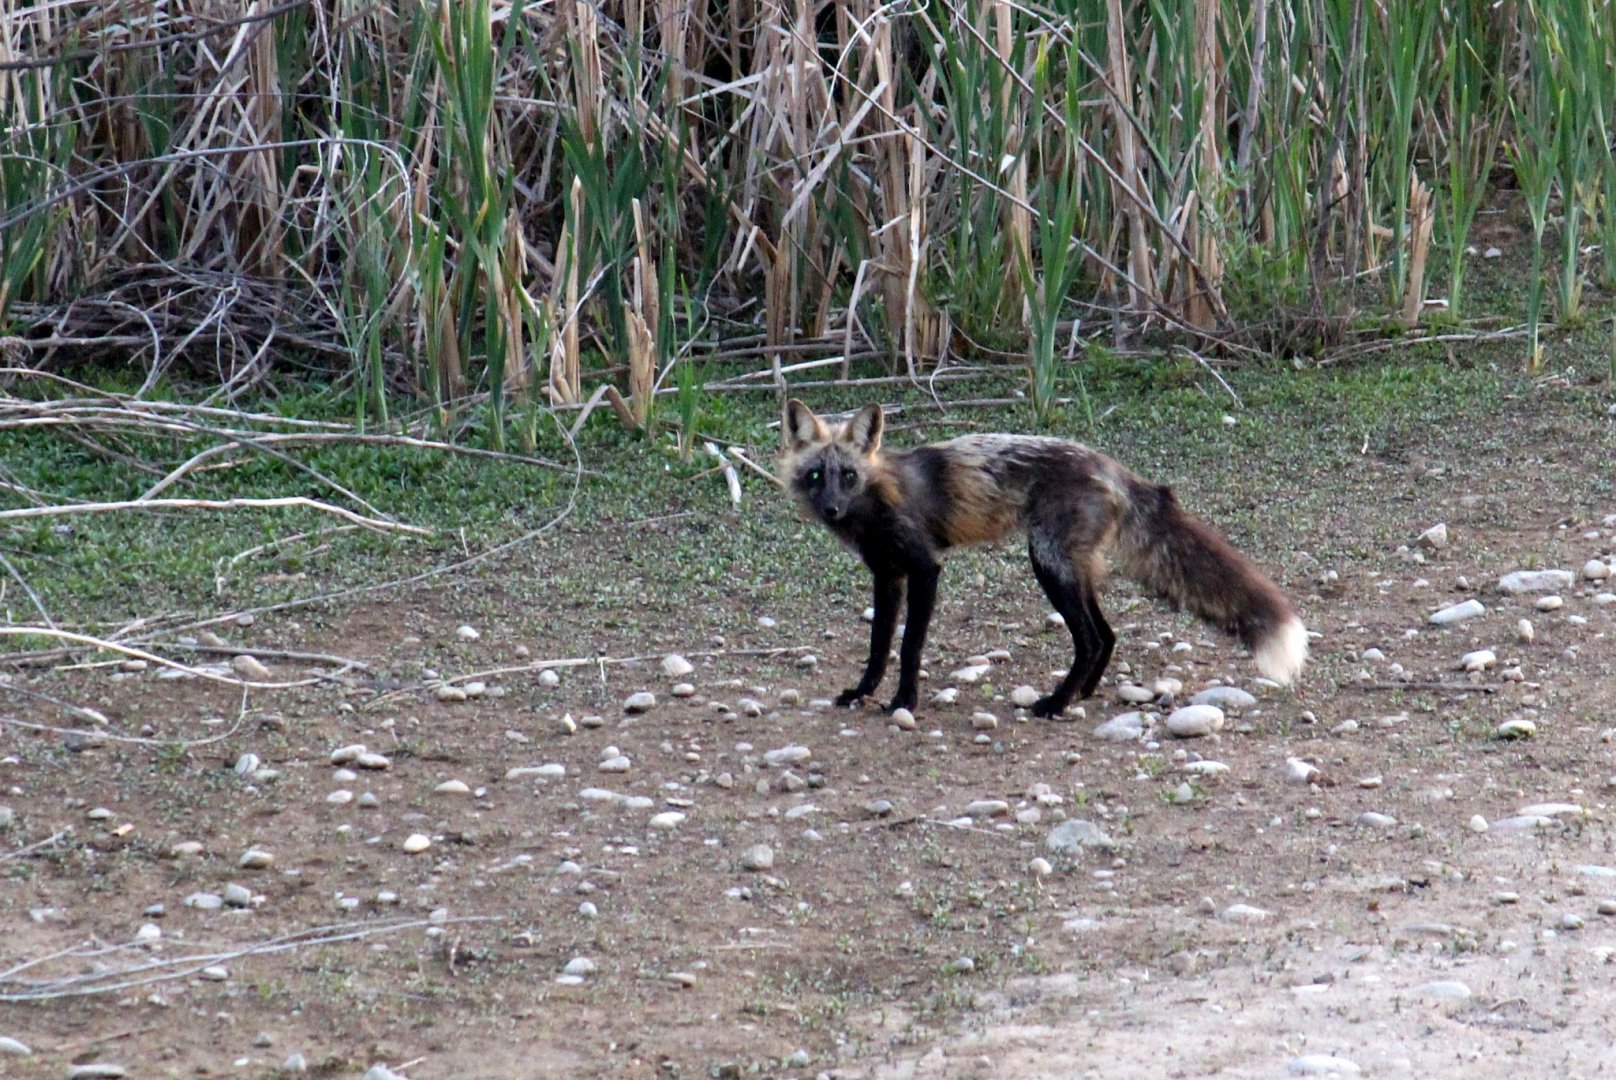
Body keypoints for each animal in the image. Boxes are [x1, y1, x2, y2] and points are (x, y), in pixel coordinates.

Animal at [779, 399, 1307, 718]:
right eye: (816, 476)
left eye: (848, 475)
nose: (830, 509)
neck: (876, 505)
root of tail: (1109, 465)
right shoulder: (887, 574)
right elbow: (877, 646)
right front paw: (862, 693)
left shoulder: (924, 567)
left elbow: (909, 647)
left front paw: (905, 700)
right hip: (1070, 568)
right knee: (1108, 635)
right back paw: (1082, 693)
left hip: (1048, 564)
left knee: (1091, 638)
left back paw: (1056, 703)